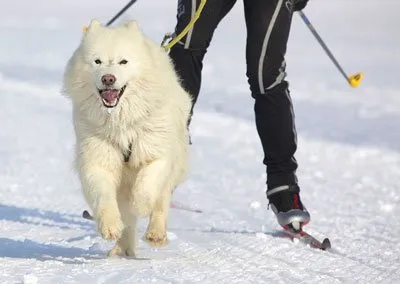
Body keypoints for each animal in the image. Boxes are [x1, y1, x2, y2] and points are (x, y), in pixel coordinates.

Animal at [62, 19, 192, 258]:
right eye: (97, 61)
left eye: (123, 62)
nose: (108, 78)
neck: (121, 123)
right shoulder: (98, 159)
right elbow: (103, 195)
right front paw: (110, 226)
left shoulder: (156, 153)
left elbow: (147, 185)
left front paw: (139, 205)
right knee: (127, 219)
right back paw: (122, 249)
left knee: (161, 202)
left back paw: (155, 234)